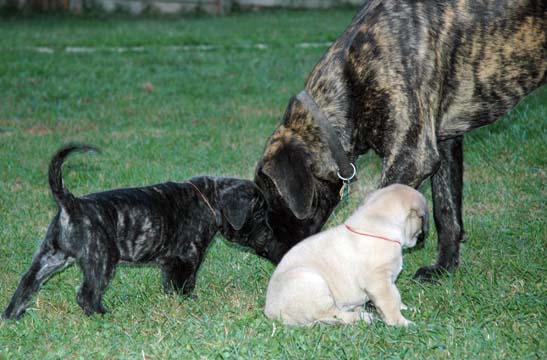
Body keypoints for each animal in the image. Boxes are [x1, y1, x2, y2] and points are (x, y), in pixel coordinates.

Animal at [256, 0, 547, 282]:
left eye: (272, 200)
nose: (269, 253)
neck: (351, 79)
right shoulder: (443, 139)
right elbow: (446, 209)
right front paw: (444, 268)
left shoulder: (412, 156)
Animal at [266, 184, 428, 328]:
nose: (423, 237)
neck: (377, 222)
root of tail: (271, 314)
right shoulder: (379, 282)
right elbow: (390, 302)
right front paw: (402, 323)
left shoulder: (388, 280)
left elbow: (396, 296)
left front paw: (407, 309)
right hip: (310, 281)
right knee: (330, 315)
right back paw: (363, 317)